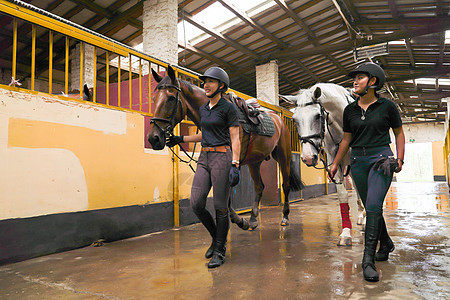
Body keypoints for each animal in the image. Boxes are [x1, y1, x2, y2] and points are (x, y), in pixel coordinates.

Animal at [148, 65, 302, 230]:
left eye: (170, 98)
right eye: (154, 99)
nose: (153, 138)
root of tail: (280, 120)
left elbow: (225, 195)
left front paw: (238, 220)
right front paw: (240, 220)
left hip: (283, 156)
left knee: (285, 185)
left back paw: (284, 217)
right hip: (255, 162)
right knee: (259, 186)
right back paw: (253, 219)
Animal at [282, 82, 366, 246]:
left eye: (318, 116)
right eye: (294, 120)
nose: (308, 157)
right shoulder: (334, 161)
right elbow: (342, 195)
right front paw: (346, 234)